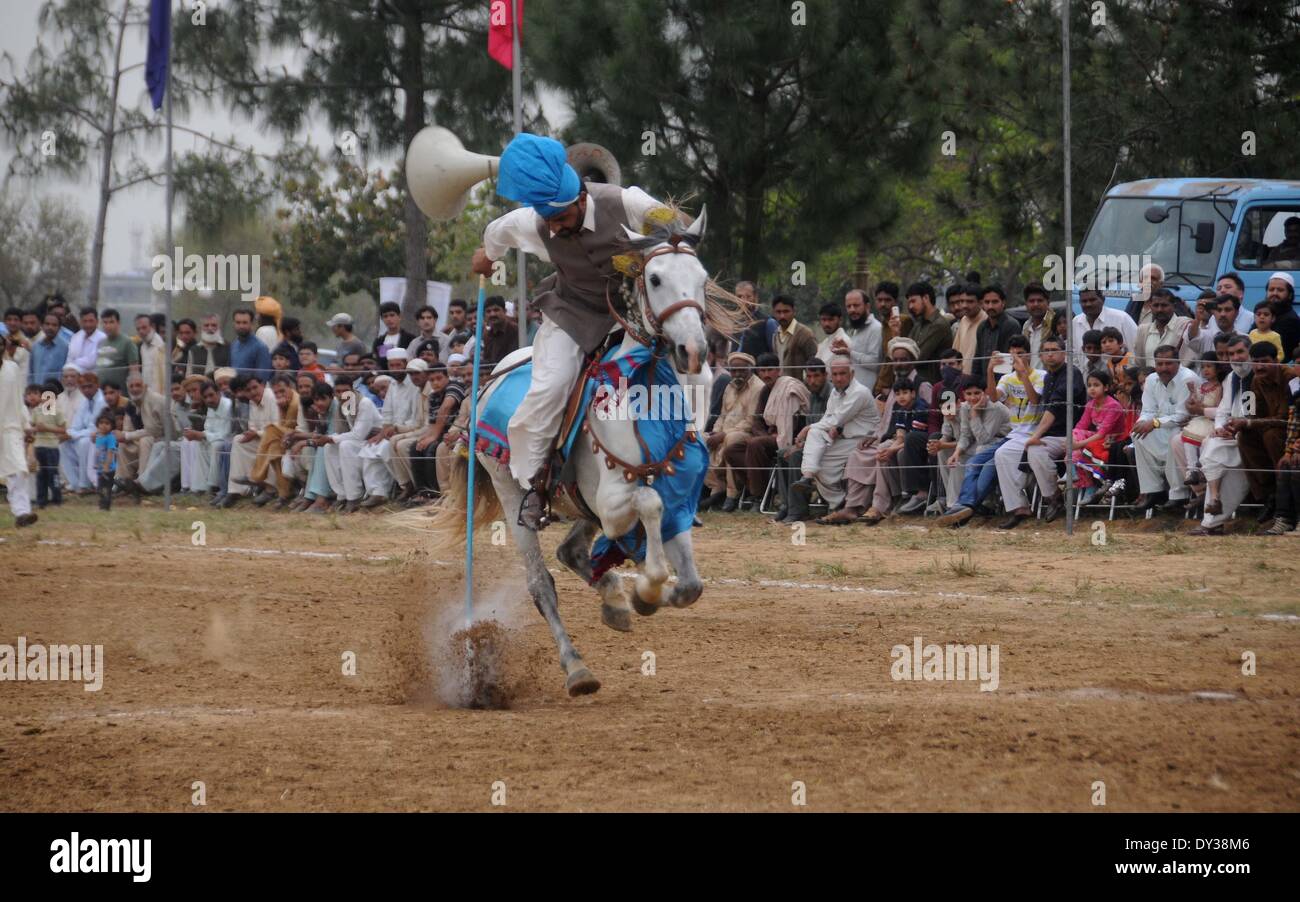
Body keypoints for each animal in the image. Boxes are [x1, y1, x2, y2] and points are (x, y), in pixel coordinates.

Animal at [436, 211, 712, 701]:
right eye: (655, 278)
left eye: (701, 278)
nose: (692, 350)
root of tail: (489, 380)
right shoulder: (615, 503)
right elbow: (648, 505)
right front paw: (646, 587)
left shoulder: (677, 495)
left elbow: (691, 586)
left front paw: (640, 595)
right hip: (514, 494)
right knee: (541, 584)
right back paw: (577, 668)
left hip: (578, 505)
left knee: (570, 552)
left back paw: (615, 601)